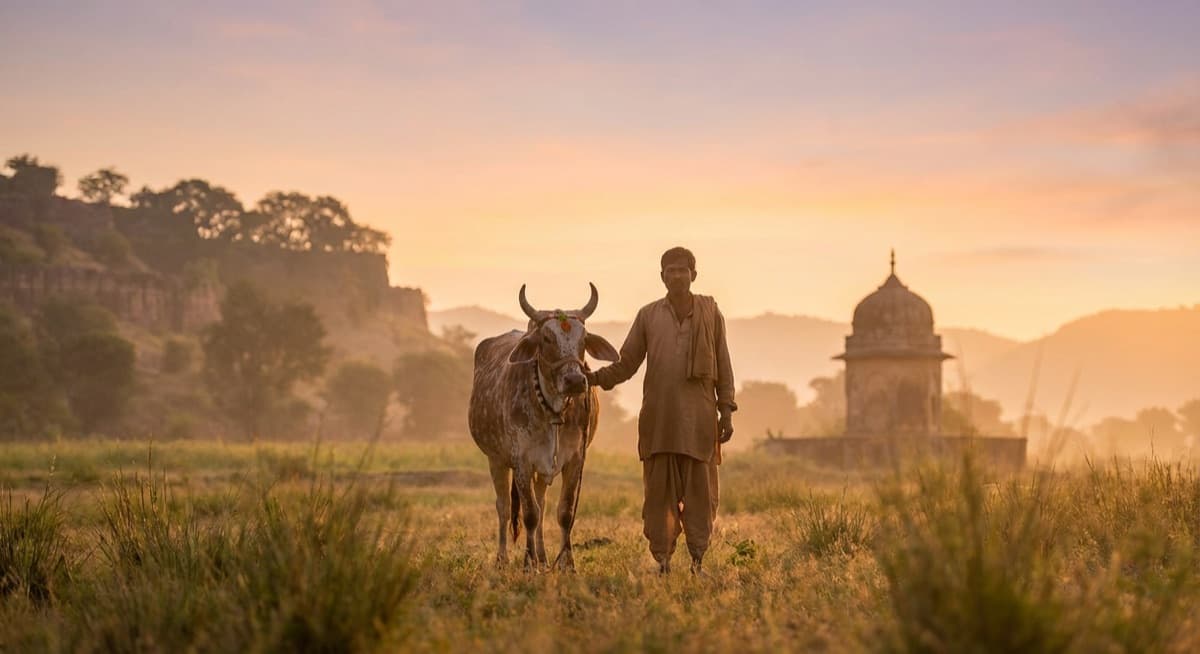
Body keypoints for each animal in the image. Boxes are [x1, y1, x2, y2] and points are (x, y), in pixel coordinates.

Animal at [468, 283, 619, 570]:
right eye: (547, 339)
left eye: (584, 339)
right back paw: (503, 559)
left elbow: (564, 512)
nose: (575, 380)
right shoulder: (522, 461)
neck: (553, 410)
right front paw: (527, 564)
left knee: (542, 503)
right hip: (496, 459)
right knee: (504, 507)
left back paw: (543, 557)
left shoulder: (575, 460)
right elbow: (529, 514)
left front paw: (566, 563)